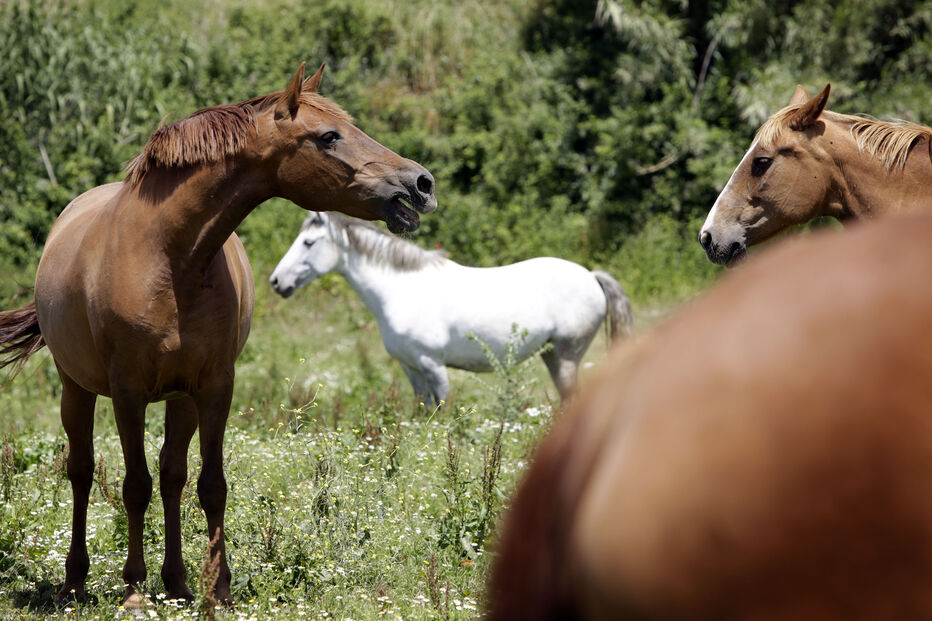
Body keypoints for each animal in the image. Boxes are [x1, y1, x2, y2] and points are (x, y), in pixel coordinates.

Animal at [0, 62, 436, 608]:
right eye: (329, 136)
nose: (420, 182)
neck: (171, 256)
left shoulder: (213, 387)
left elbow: (210, 485)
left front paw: (218, 589)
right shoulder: (127, 392)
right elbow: (134, 484)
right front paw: (134, 590)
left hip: (180, 398)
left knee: (173, 476)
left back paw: (177, 582)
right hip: (75, 386)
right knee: (81, 471)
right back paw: (77, 580)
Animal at [269, 212, 633, 405]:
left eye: (308, 243)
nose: (276, 281)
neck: (400, 290)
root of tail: (591, 276)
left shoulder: (433, 365)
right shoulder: (411, 369)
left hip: (566, 357)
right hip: (552, 356)